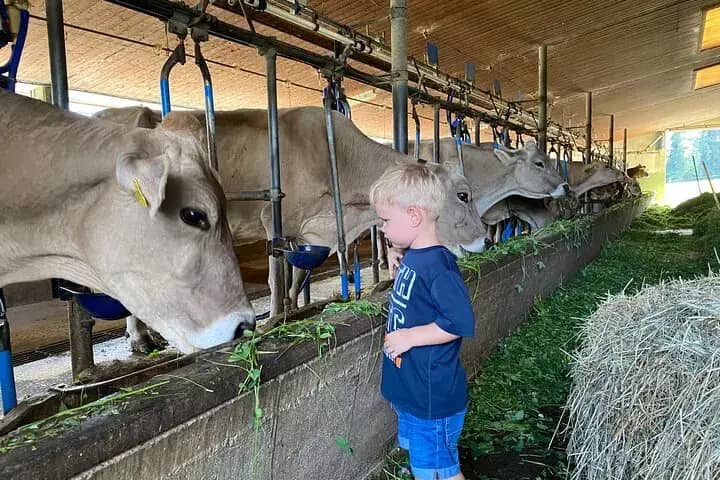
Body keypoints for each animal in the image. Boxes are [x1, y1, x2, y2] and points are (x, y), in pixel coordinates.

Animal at [95, 106, 488, 317]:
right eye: (463, 195)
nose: (484, 239)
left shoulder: (310, 233)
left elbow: (299, 275)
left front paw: (292, 309)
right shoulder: (274, 219)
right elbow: (275, 276)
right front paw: (272, 318)